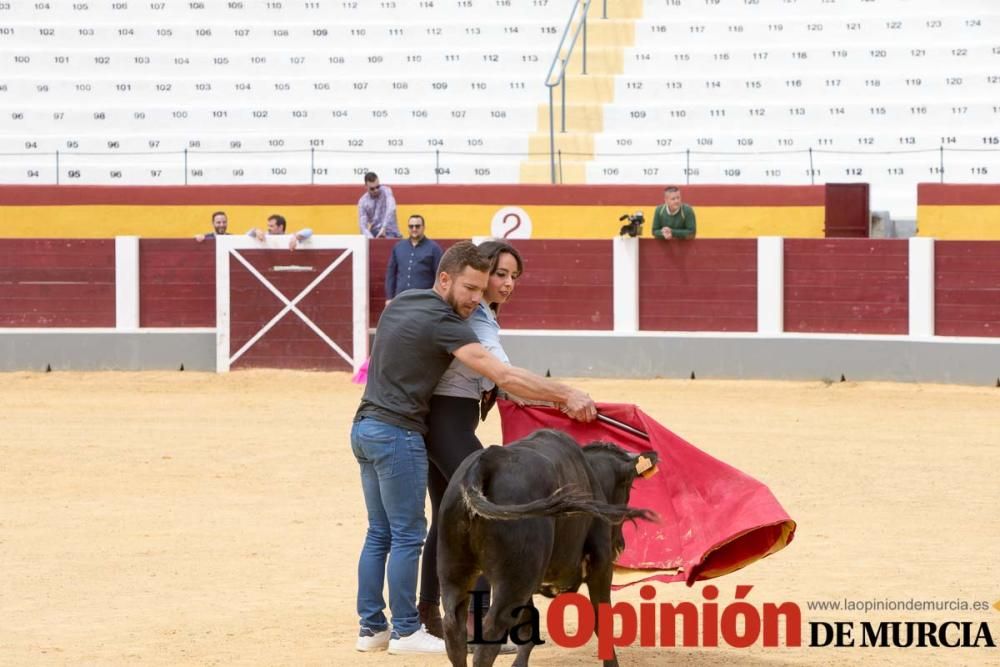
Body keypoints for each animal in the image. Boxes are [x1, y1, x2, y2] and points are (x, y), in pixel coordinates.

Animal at [436, 428, 656, 667]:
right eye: (629, 486)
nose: (620, 545)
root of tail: (487, 462)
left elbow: (528, 630)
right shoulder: (601, 565)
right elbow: (601, 620)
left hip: (454, 571)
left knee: (453, 628)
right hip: (514, 581)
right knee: (491, 633)